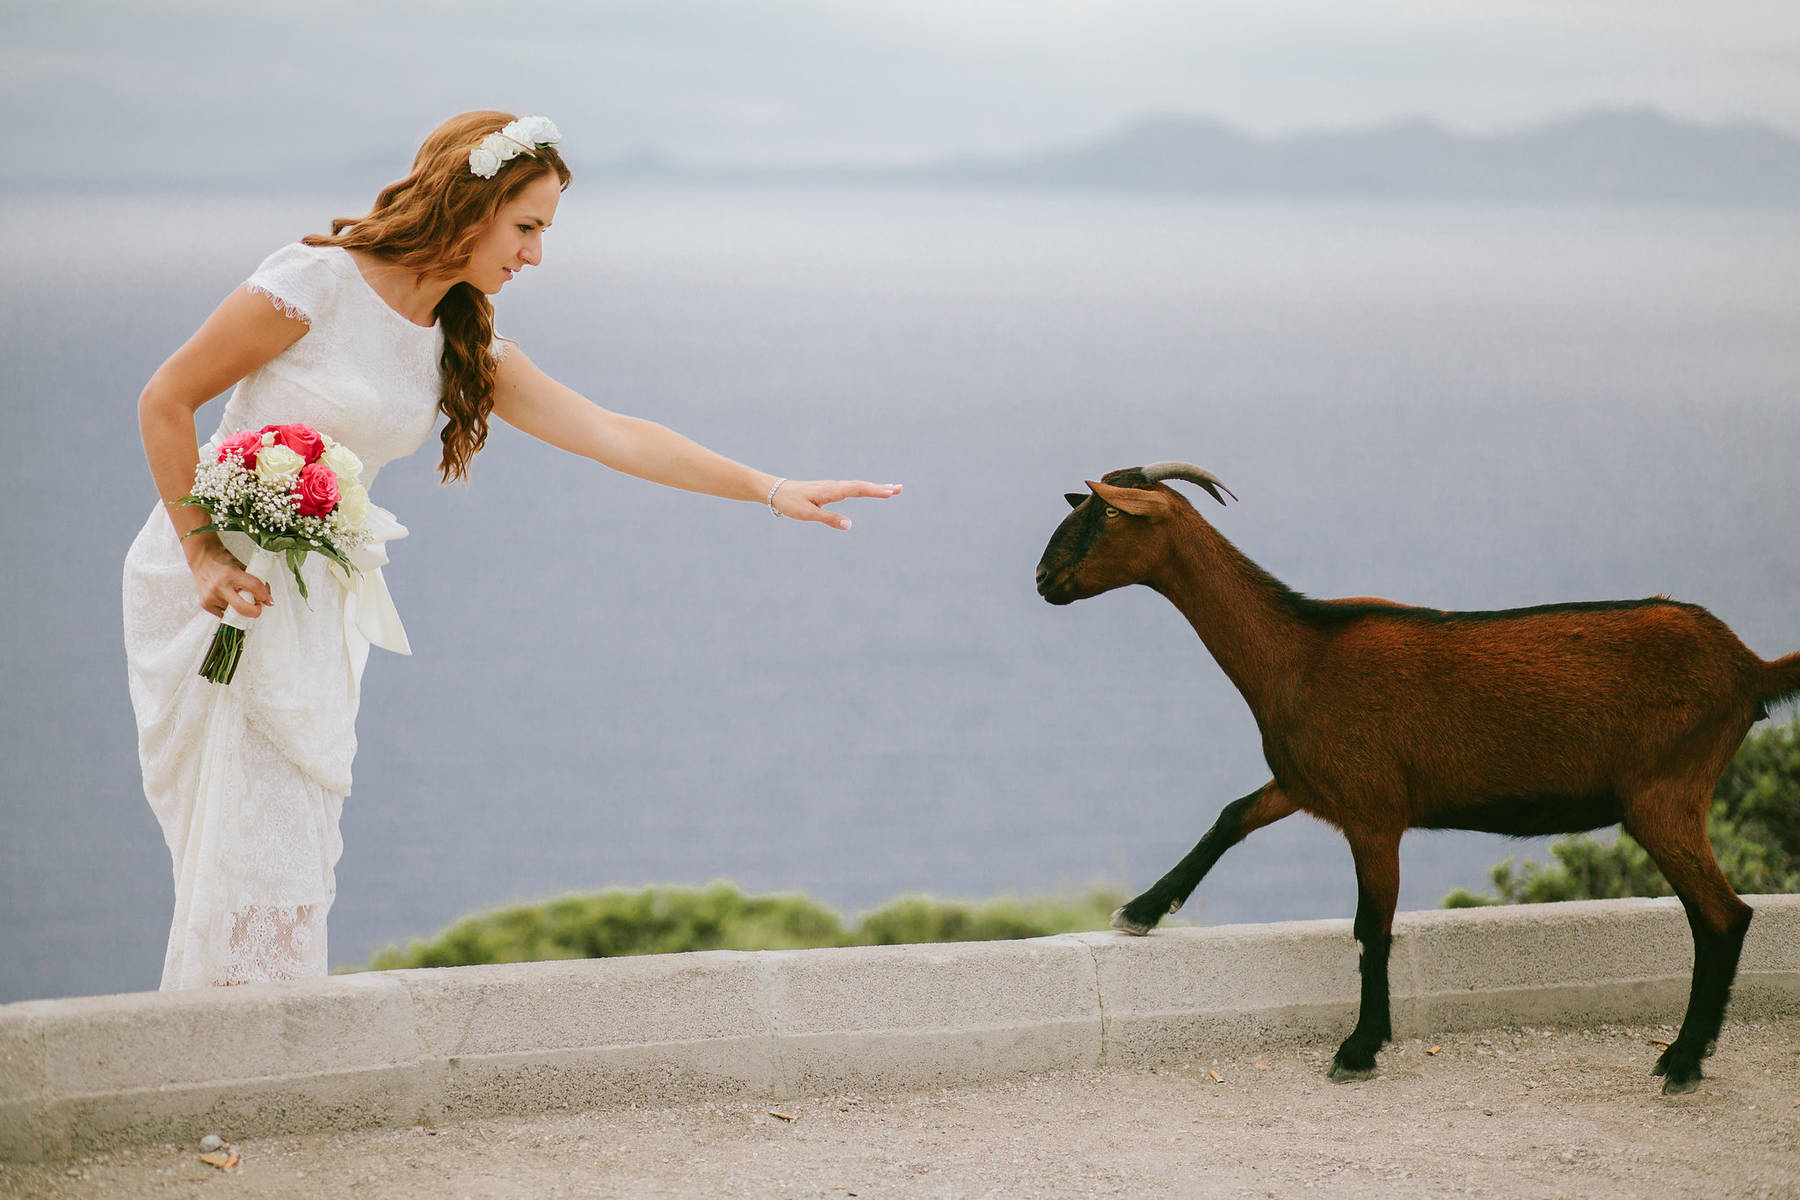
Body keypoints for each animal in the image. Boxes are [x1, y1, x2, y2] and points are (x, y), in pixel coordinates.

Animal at [1036, 464, 1792, 1093]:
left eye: (1108, 514)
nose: (1043, 577)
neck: (1299, 653)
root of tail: (1751, 669)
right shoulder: (1308, 784)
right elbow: (1229, 816)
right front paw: (1140, 911)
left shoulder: (1373, 810)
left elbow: (1371, 928)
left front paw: (1359, 1049)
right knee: (1712, 916)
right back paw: (1689, 1053)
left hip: (1665, 792)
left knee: (1724, 916)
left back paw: (1683, 1061)